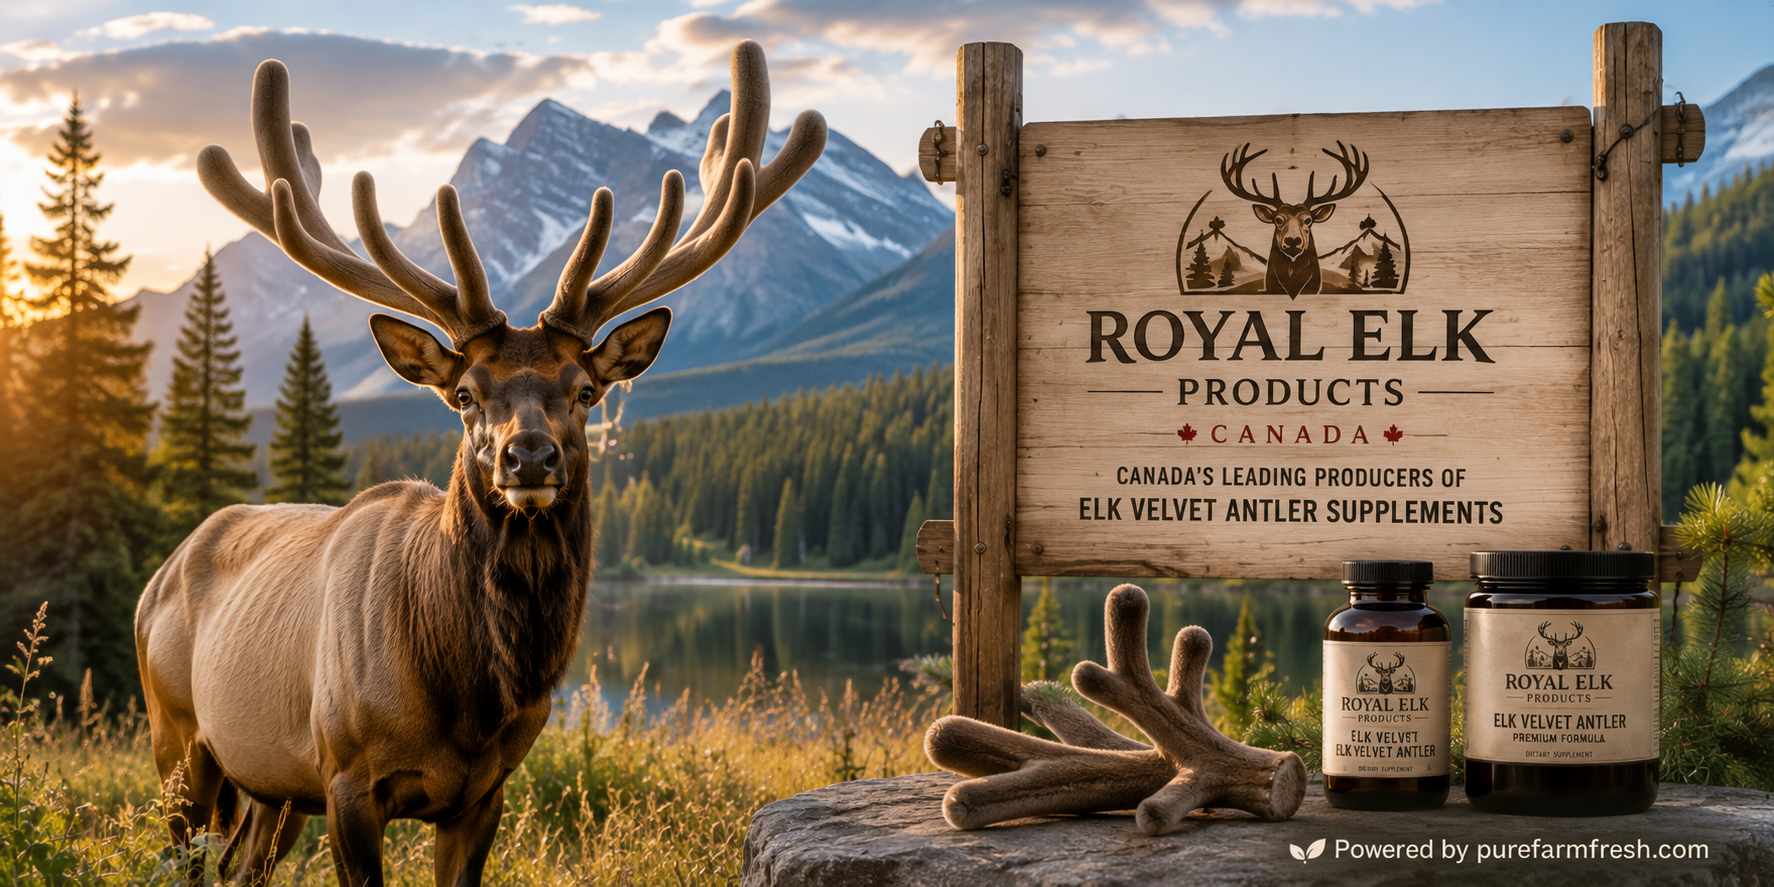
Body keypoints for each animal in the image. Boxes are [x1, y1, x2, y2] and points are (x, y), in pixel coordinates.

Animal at [133, 41, 824, 887]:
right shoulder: (346, 774)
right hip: (179, 741)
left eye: (585, 389)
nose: (529, 455)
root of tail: (160, 573)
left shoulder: (484, 790)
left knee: (240, 867)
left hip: (273, 785)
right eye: (465, 393)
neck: (468, 695)